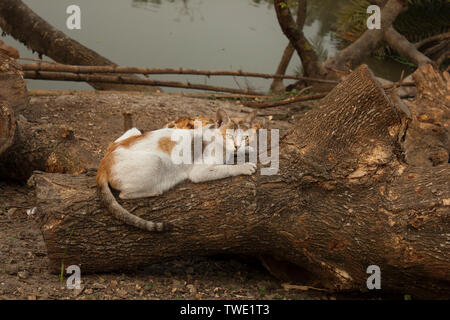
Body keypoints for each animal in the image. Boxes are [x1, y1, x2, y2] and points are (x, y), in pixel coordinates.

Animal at [96, 109, 258, 231]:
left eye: (245, 137)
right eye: (229, 136)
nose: (237, 146)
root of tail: (104, 161)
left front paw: (246, 150)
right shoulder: (198, 172)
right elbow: (226, 168)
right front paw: (244, 166)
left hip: (133, 130)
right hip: (155, 161)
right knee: (124, 194)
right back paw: (158, 189)